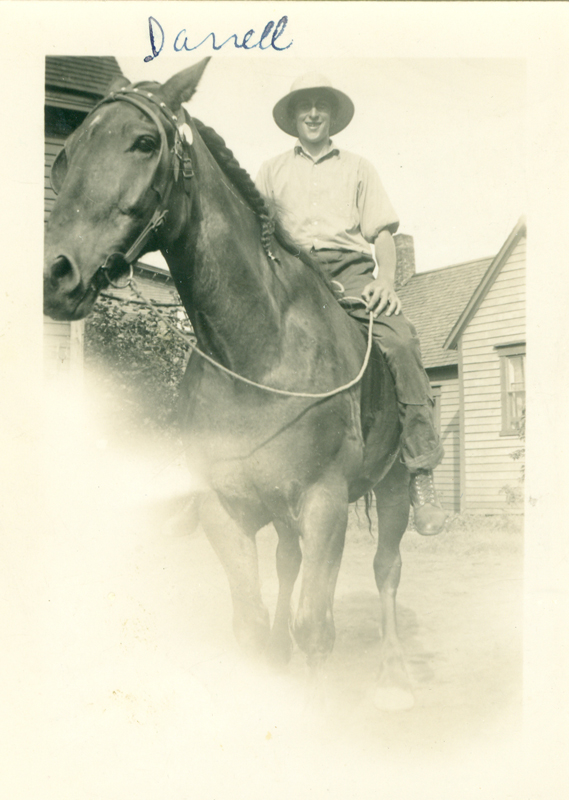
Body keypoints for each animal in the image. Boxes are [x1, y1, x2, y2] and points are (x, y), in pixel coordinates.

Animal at [44, 61, 414, 712]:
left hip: (394, 486)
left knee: (387, 569)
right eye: (66, 156)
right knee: (288, 564)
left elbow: (317, 627)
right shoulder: (224, 508)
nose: (54, 273)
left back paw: (393, 675)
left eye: (145, 142)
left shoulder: (324, 505)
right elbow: (250, 624)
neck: (262, 348)